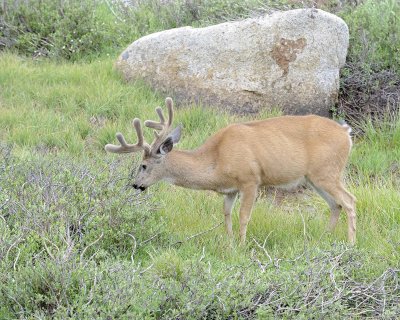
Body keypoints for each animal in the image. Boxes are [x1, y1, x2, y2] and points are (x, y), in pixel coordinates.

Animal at [105, 97, 356, 242]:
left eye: (143, 165)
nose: (135, 185)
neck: (216, 160)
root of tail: (346, 132)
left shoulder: (250, 179)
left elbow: (244, 216)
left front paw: (243, 245)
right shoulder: (230, 190)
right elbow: (226, 214)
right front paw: (230, 243)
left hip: (327, 172)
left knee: (350, 201)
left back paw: (350, 243)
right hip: (314, 178)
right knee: (336, 204)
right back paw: (322, 239)